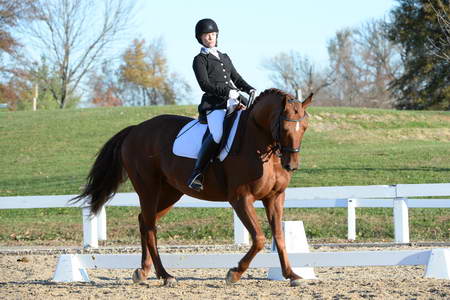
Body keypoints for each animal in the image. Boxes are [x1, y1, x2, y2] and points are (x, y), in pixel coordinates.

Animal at [74, 88, 312, 288]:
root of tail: (135, 130)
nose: (291, 165)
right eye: (284, 127)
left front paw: (292, 275)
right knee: (150, 227)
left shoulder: (275, 197)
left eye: (304, 127)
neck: (258, 141)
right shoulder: (241, 199)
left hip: (170, 193)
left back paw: (143, 272)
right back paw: (165, 276)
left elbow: (279, 237)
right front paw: (234, 273)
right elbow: (259, 238)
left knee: (144, 221)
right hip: (148, 188)